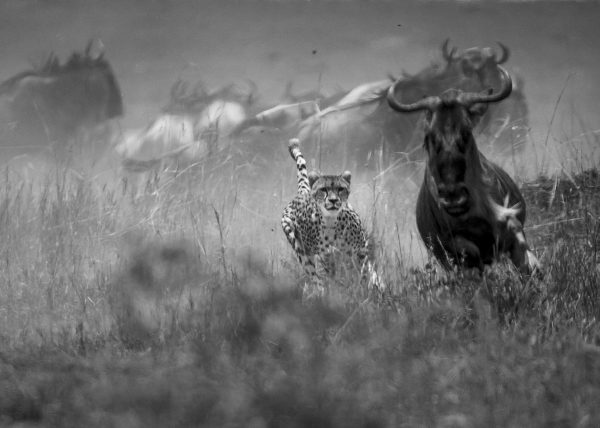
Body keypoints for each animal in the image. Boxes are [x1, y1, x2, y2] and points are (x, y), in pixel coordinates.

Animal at [282, 138, 380, 294]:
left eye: (340, 189)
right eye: (324, 189)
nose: (333, 200)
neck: (333, 222)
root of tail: (303, 192)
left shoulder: (360, 251)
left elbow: (365, 272)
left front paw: (369, 289)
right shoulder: (326, 257)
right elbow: (332, 278)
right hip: (299, 248)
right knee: (314, 275)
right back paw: (320, 293)